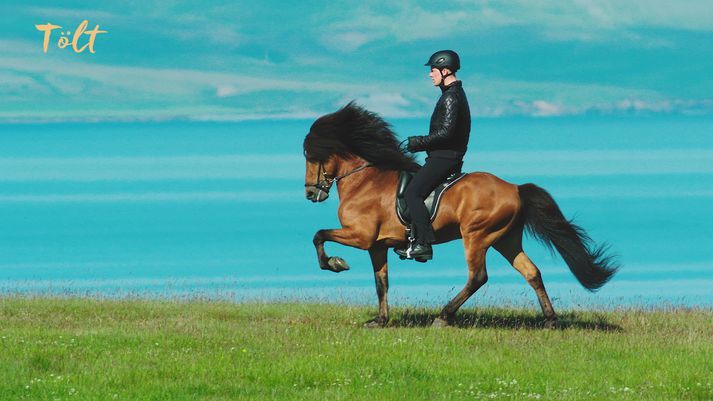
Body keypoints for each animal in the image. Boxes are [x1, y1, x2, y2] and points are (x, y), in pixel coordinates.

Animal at [302, 101, 616, 326]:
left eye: (310, 155)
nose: (310, 193)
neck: (364, 182)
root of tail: (515, 189)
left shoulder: (361, 236)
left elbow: (319, 236)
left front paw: (335, 263)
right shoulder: (377, 245)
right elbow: (382, 283)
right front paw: (380, 320)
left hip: (476, 236)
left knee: (478, 277)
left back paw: (443, 317)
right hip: (505, 239)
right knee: (531, 272)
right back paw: (550, 320)